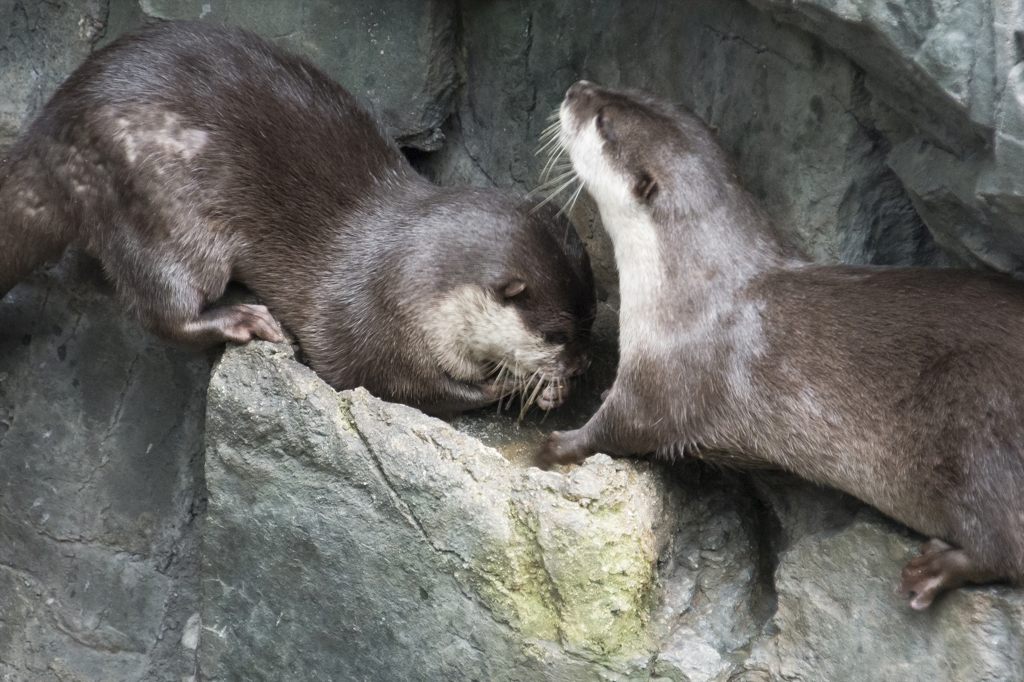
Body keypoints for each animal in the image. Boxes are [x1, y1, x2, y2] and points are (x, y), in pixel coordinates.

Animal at [0, 21, 593, 411]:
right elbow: (408, 385)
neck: (407, 277)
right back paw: (242, 321)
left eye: (590, 325)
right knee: (162, 308)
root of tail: (50, 125)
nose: (580, 367)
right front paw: (521, 388)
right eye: (556, 333)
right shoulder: (370, 326)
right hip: (151, 203)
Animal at [536, 79, 1024, 606]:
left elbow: (621, 428)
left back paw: (934, 569)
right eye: (632, 89)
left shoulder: (668, 373)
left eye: (603, 121)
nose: (576, 88)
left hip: (979, 424)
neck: (688, 289)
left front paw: (557, 445)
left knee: (1004, 543)